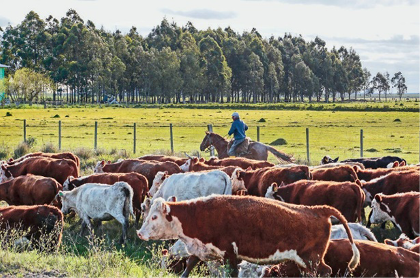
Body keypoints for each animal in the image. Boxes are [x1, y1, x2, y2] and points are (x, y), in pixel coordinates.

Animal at [137, 195, 358, 278]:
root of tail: (318, 209)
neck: (199, 214)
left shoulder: (230, 255)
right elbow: (188, 266)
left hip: (313, 259)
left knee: (326, 271)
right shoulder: (201, 251)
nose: (140, 233)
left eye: (154, 217)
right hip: (306, 262)